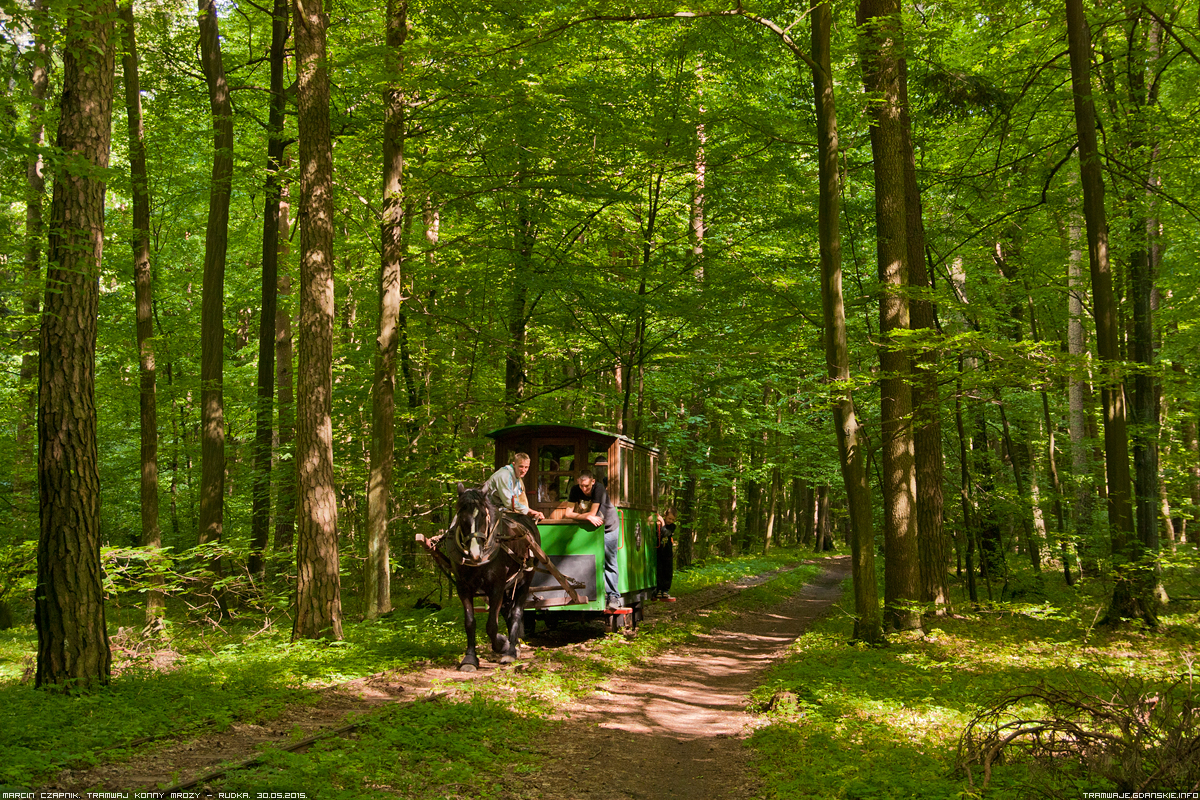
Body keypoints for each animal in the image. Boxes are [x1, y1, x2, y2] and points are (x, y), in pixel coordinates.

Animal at [439, 484, 537, 671]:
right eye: (461, 515)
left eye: (483, 515)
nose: (475, 553)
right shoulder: (463, 587)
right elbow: (470, 622)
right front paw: (470, 658)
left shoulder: (497, 586)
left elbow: (492, 625)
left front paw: (503, 644)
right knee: (507, 611)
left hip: (525, 580)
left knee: (516, 612)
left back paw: (511, 651)